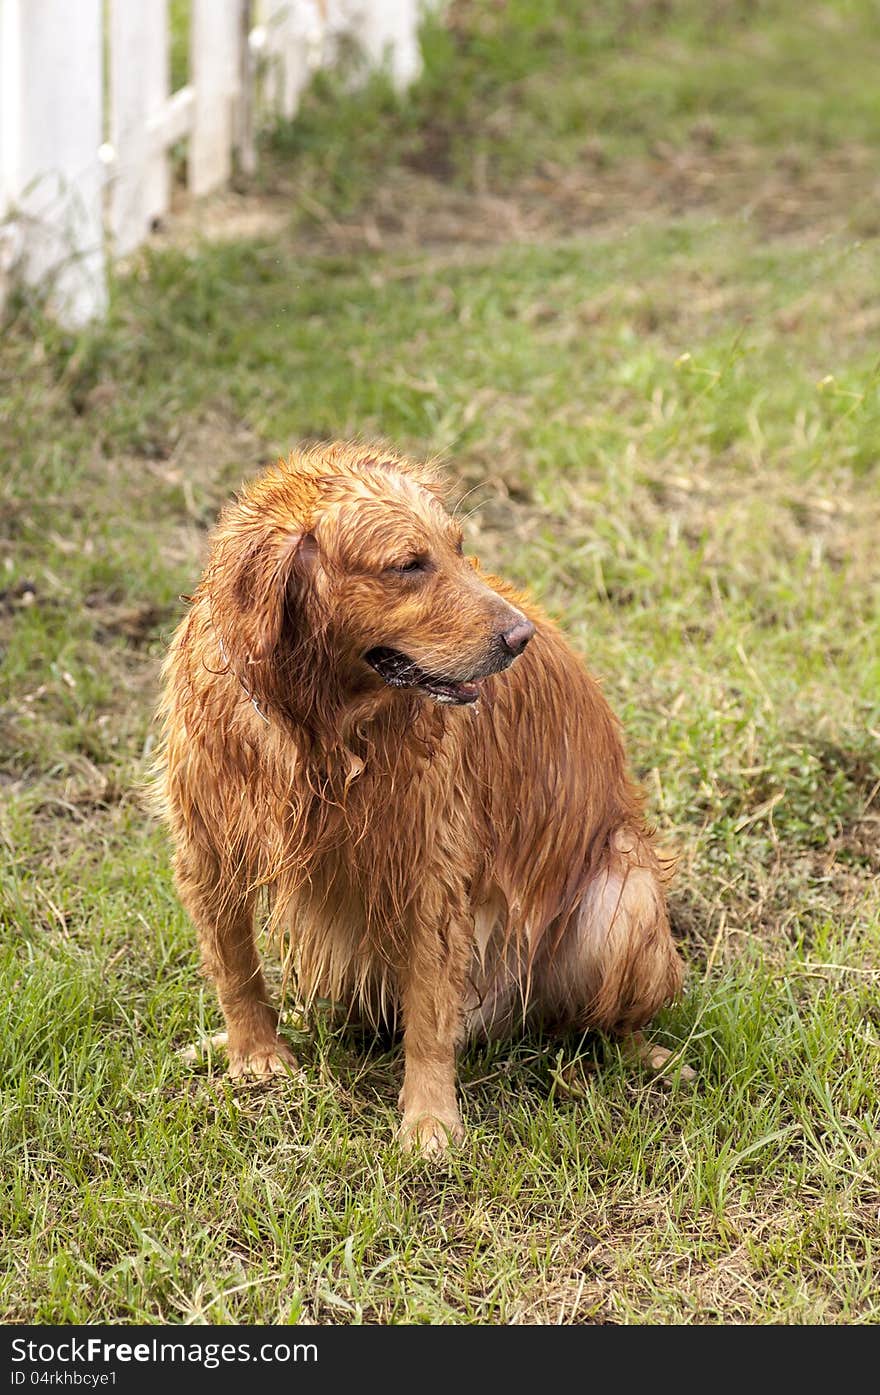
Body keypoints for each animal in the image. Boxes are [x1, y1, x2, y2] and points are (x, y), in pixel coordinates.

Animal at [154, 443, 686, 1155]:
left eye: (459, 549)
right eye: (409, 565)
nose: (521, 638)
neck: (316, 725)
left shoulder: (431, 867)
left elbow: (431, 1015)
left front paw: (430, 1119)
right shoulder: (207, 843)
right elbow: (234, 964)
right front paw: (254, 1055)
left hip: (619, 897)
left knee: (604, 1020)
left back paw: (651, 1057)